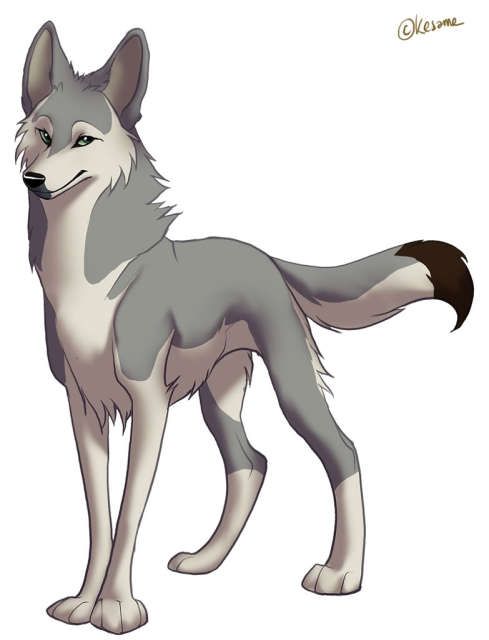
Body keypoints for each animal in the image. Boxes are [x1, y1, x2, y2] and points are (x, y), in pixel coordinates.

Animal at [17, 21, 473, 635]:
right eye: (43, 135)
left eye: (83, 141)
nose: (33, 179)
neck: (92, 280)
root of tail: (267, 258)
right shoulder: (82, 406)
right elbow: (98, 515)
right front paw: (83, 603)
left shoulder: (148, 404)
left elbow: (130, 511)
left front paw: (116, 608)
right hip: (220, 396)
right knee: (250, 464)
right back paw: (207, 561)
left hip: (290, 386)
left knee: (343, 452)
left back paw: (341, 574)